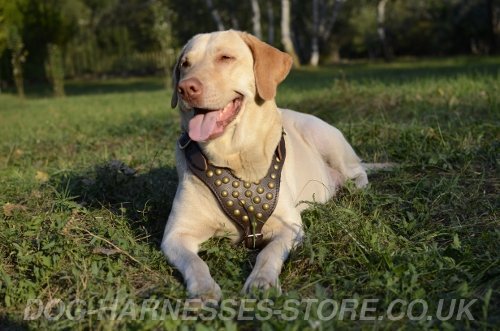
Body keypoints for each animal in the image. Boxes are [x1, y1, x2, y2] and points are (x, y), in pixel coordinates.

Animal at [163, 29, 368, 302]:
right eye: (185, 64)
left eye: (225, 58)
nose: (185, 88)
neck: (232, 158)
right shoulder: (175, 235)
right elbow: (194, 262)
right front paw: (204, 290)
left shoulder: (289, 227)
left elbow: (267, 253)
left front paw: (262, 281)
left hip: (324, 137)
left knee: (359, 170)